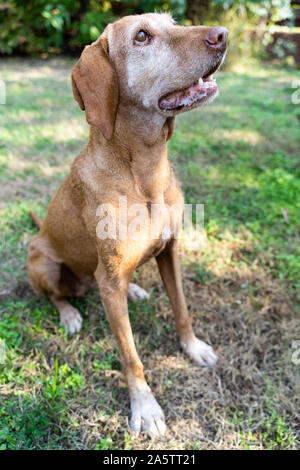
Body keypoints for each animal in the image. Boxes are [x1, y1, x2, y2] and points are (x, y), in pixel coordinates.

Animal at [27, 11, 227, 436]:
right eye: (141, 37)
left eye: (173, 22)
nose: (223, 35)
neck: (144, 170)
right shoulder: (109, 280)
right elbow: (131, 355)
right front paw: (144, 406)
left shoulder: (170, 251)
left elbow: (182, 309)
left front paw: (193, 347)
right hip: (42, 263)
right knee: (55, 294)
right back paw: (69, 313)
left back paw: (133, 290)